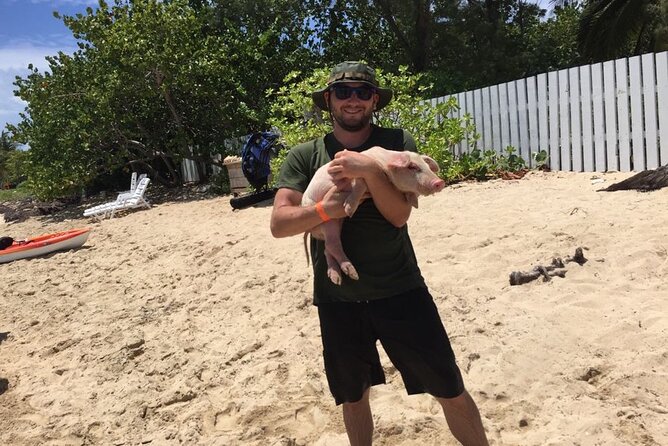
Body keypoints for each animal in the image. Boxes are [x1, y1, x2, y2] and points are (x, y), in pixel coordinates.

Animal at [302, 146, 445, 285]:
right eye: (412, 167)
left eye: (427, 167)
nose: (440, 182)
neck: (383, 166)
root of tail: (312, 230)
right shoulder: (357, 176)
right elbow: (360, 185)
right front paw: (349, 209)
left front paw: (415, 203)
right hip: (328, 221)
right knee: (332, 246)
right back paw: (352, 275)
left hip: (336, 223)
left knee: (328, 248)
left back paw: (337, 278)